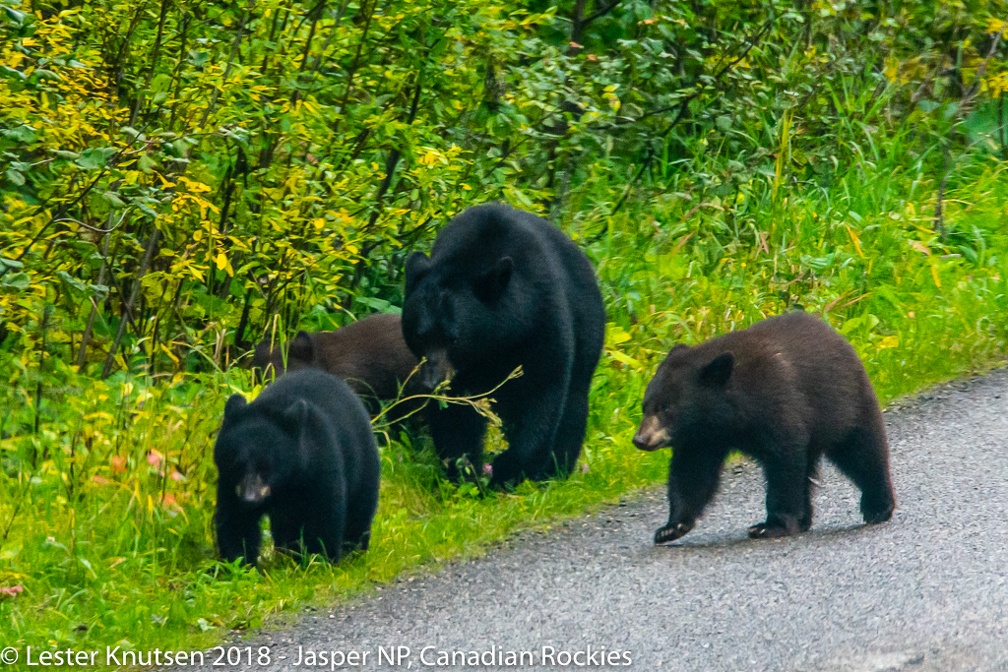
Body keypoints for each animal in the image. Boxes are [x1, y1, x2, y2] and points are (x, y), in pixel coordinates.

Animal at [214, 368, 379, 568]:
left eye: (266, 466)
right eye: (237, 464)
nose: (249, 500)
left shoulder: (318, 465)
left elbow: (322, 514)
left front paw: (320, 560)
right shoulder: (230, 483)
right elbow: (235, 520)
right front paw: (240, 563)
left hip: (363, 462)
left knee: (360, 509)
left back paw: (353, 552)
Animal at [401, 202, 604, 485]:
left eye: (454, 338)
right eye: (420, 336)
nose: (432, 383)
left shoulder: (541, 320)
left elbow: (542, 389)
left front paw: (508, 468)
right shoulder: (462, 373)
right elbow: (455, 414)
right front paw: (465, 472)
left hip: (588, 327)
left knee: (574, 402)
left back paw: (556, 470)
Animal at [633, 312, 895, 544]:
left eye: (666, 408)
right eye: (645, 406)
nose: (640, 439)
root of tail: (836, 335)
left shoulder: (777, 405)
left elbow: (784, 463)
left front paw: (770, 525)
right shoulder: (703, 438)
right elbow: (692, 473)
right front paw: (671, 527)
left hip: (846, 405)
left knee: (863, 452)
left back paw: (878, 506)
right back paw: (804, 519)